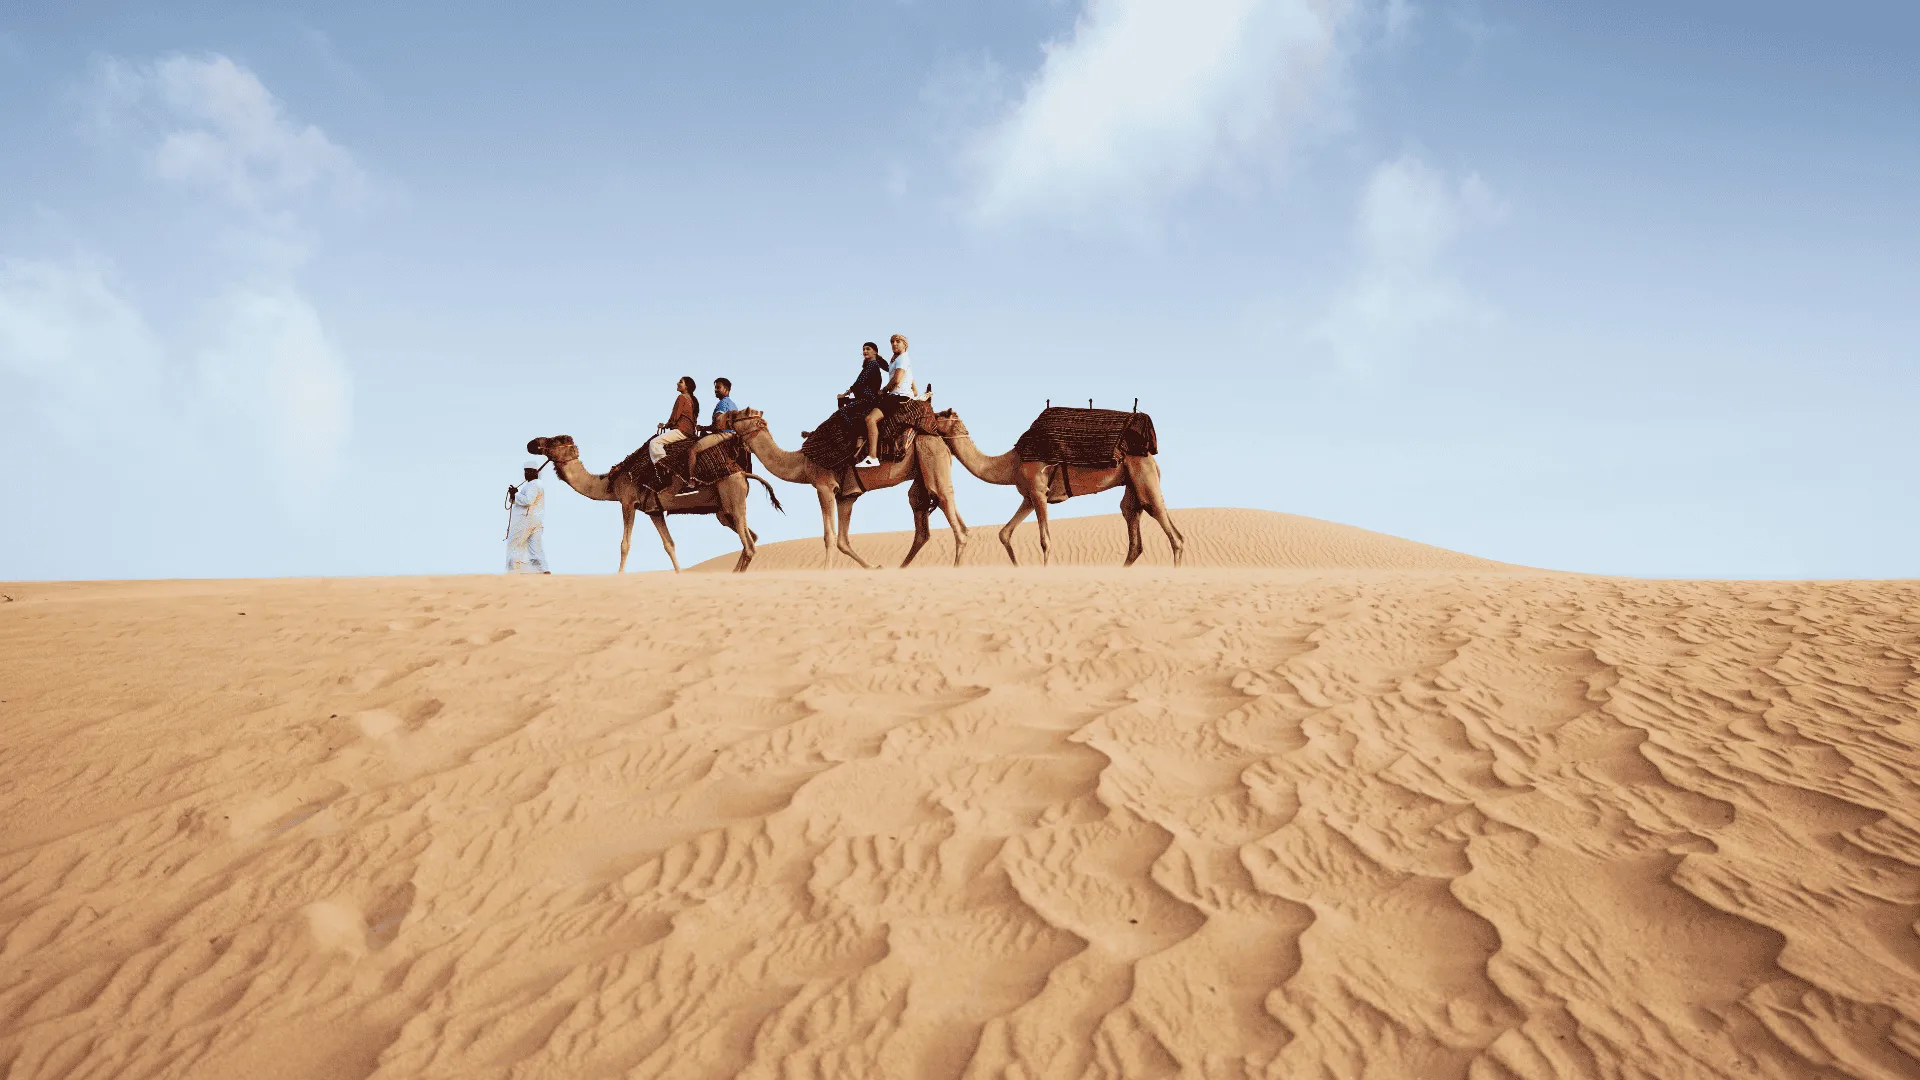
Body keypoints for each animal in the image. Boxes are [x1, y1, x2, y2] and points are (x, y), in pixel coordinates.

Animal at [525, 434, 782, 573]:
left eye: (555, 440)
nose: (532, 443)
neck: (611, 482)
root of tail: (742, 473)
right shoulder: (654, 511)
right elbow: (669, 544)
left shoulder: (627, 502)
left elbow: (624, 544)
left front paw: (619, 576)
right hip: (723, 511)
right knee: (751, 538)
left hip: (732, 498)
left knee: (749, 544)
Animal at [728, 408, 968, 568]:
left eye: (737, 416)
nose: (724, 418)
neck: (802, 463)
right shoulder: (847, 496)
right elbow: (843, 540)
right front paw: (873, 567)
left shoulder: (824, 486)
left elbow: (829, 536)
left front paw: (826, 572)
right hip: (927, 469)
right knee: (940, 511)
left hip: (931, 455)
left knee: (946, 505)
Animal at [932, 411, 1185, 567]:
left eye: (938, 414)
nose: (928, 421)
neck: (1010, 463)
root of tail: (1150, 455)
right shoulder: (1029, 496)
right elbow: (1005, 533)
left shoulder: (1038, 491)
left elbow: (1045, 540)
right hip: (1132, 484)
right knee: (1132, 522)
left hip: (1145, 477)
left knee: (1170, 528)